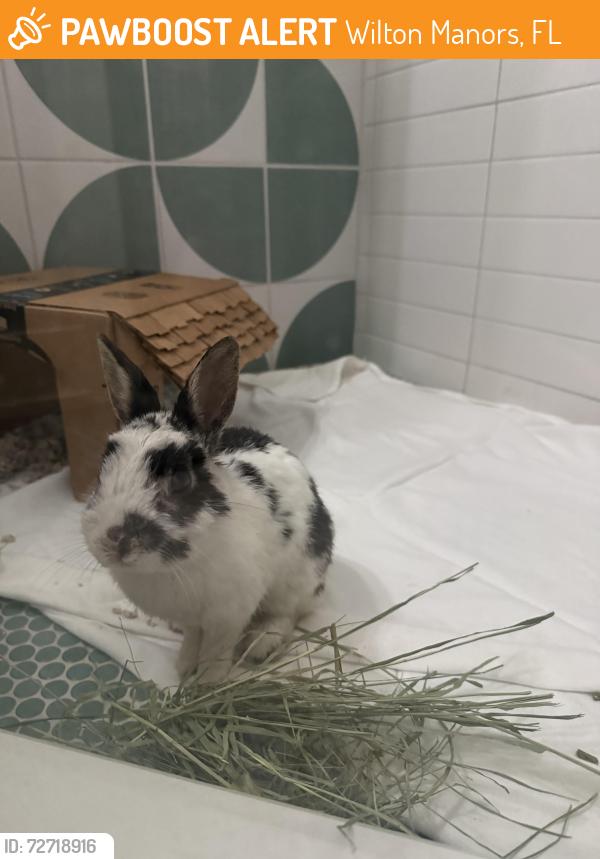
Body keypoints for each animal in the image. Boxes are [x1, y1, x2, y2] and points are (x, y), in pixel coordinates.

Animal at [82, 335, 334, 684]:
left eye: (181, 479)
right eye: (101, 469)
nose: (114, 538)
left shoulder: (229, 614)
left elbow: (216, 648)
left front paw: (206, 682)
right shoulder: (192, 618)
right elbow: (192, 636)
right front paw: (184, 665)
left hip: (298, 577)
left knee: (287, 612)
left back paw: (260, 644)